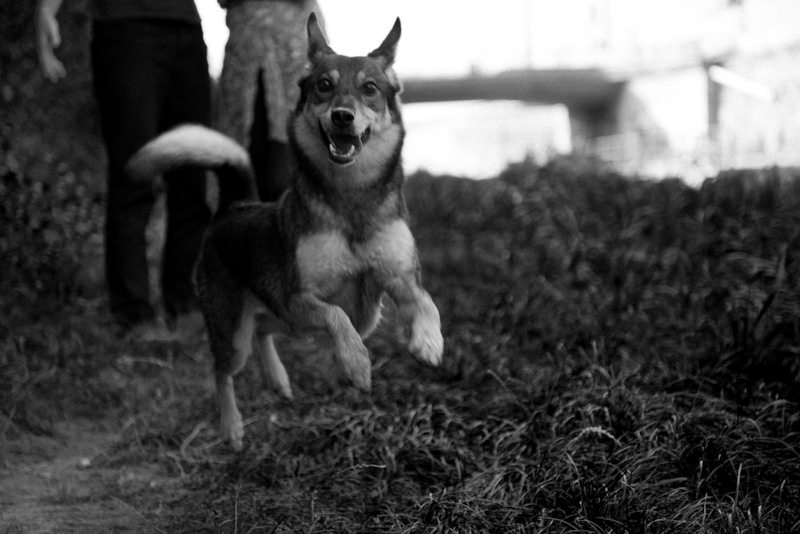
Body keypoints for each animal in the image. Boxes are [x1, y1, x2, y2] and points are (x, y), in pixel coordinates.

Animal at [126, 13, 444, 452]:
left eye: (369, 89)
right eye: (324, 85)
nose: (342, 116)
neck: (350, 198)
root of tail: (235, 206)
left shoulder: (394, 279)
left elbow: (425, 300)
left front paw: (428, 342)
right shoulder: (299, 296)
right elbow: (336, 317)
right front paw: (357, 365)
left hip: (289, 321)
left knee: (264, 328)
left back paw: (277, 379)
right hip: (238, 329)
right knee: (222, 369)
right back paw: (231, 427)